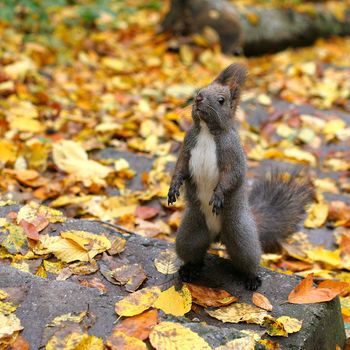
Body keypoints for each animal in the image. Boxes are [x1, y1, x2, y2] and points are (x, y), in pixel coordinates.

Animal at [167, 62, 314, 290]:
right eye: (203, 88)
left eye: (221, 100)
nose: (198, 97)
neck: (207, 132)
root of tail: (217, 236)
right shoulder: (187, 145)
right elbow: (180, 167)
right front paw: (173, 187)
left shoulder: (232, 154)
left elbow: (231, 177)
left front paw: (218, 195)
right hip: (190, 233)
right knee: (193, 252)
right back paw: (190, 269)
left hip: (241, 235)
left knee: (248, 259)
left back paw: (252, 278)